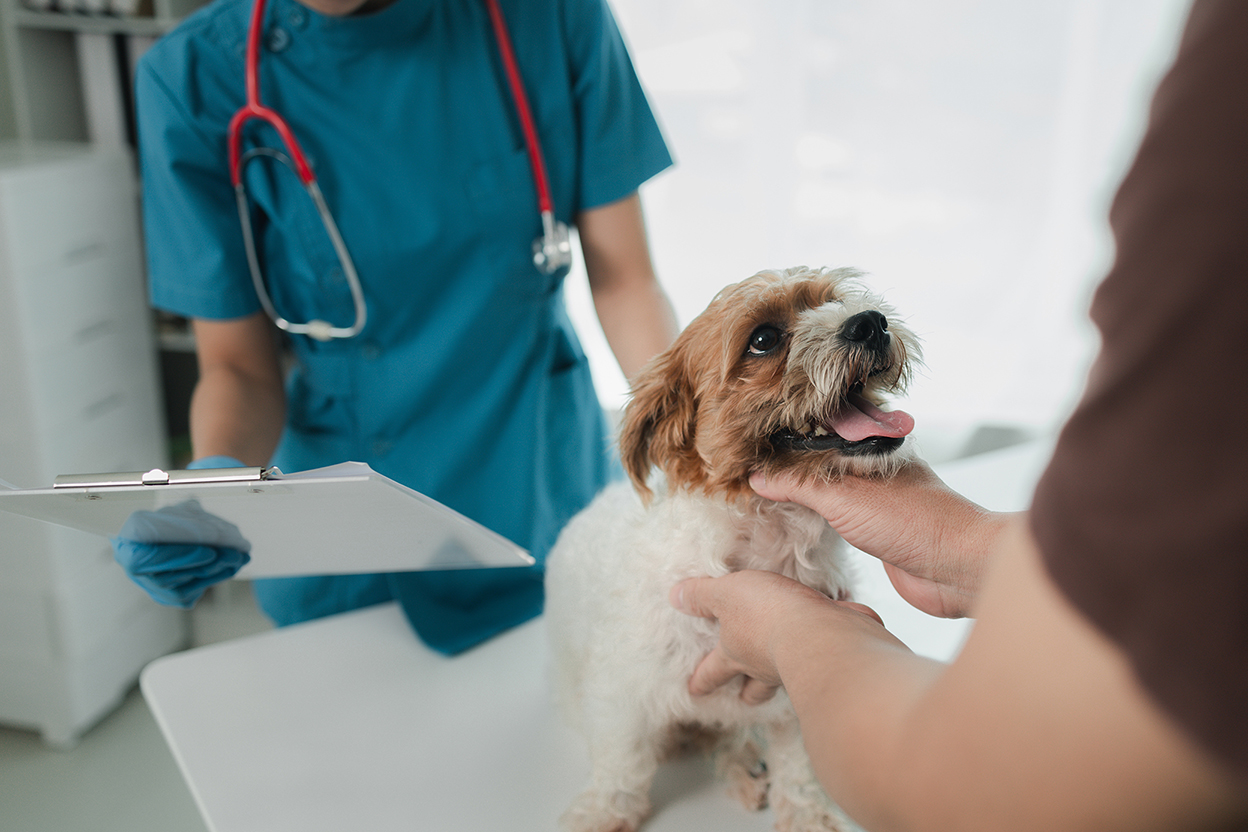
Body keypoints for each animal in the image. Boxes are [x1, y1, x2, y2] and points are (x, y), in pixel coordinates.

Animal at [544, 265, 918, 832]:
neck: (773, 541)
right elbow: (621, 767)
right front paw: (602, 813)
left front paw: (805, 814)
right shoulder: (620, 696)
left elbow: (797, 766)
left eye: (834, 300)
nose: (869, 322)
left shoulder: (791, 693)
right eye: (762, 340)